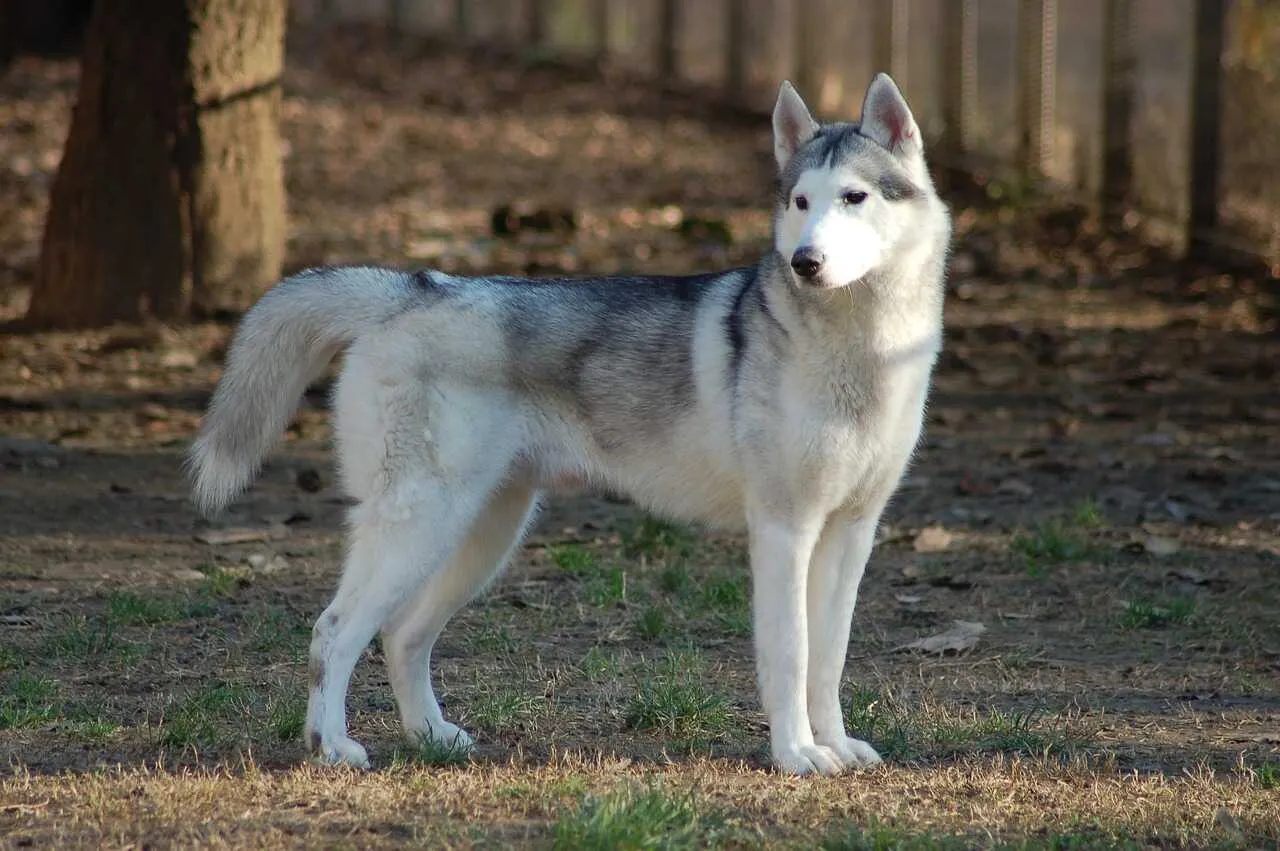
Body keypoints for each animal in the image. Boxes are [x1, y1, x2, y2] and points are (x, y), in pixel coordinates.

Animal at [189, 74, 952, 778]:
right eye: (800, 203)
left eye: (854, 197)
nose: (805, 262)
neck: (863, 351)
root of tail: (415, 288)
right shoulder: (783, 530)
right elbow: (790, 656)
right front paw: (796, 753)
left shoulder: (850, 533)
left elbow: (828, 657)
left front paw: (835, 745)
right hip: (421, 525)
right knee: (333, 631)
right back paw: (332, 746)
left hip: (483, 534)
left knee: (402, 634)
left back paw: (431, 736)